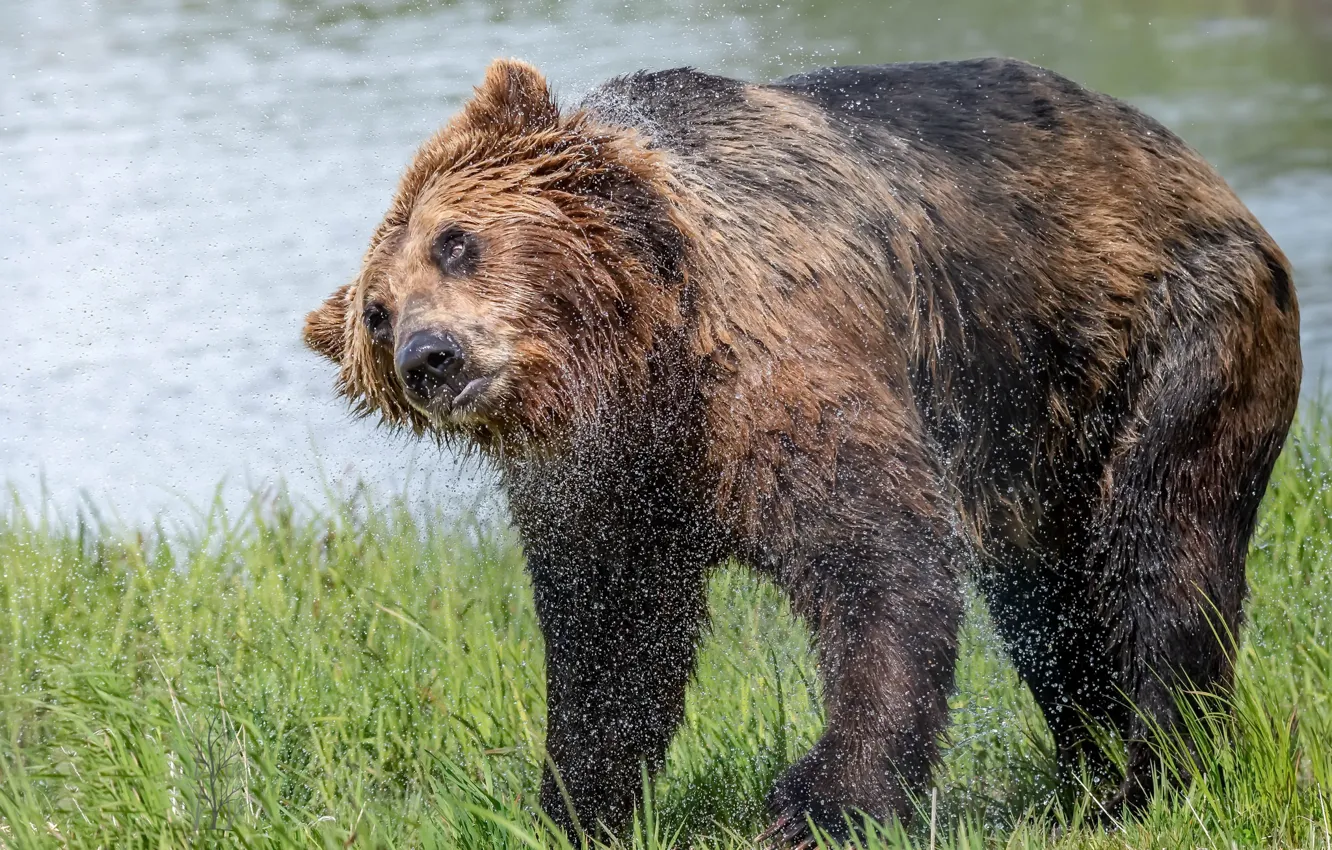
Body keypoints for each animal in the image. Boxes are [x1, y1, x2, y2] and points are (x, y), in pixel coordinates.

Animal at [303, 57, 1302, 844]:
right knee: (1053, 609)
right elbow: (612, 643)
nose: (429, 356)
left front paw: (821, 802)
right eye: (377, 314)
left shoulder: (775, 363)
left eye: (456, 241)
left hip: (1165, 339)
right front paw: (572, 809)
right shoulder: (607, 481)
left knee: (1158, 559)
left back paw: (1152, 776)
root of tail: (1205, 175)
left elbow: (878, 564)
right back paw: (1086, 777)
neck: (644, 359)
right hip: (1037, 435)